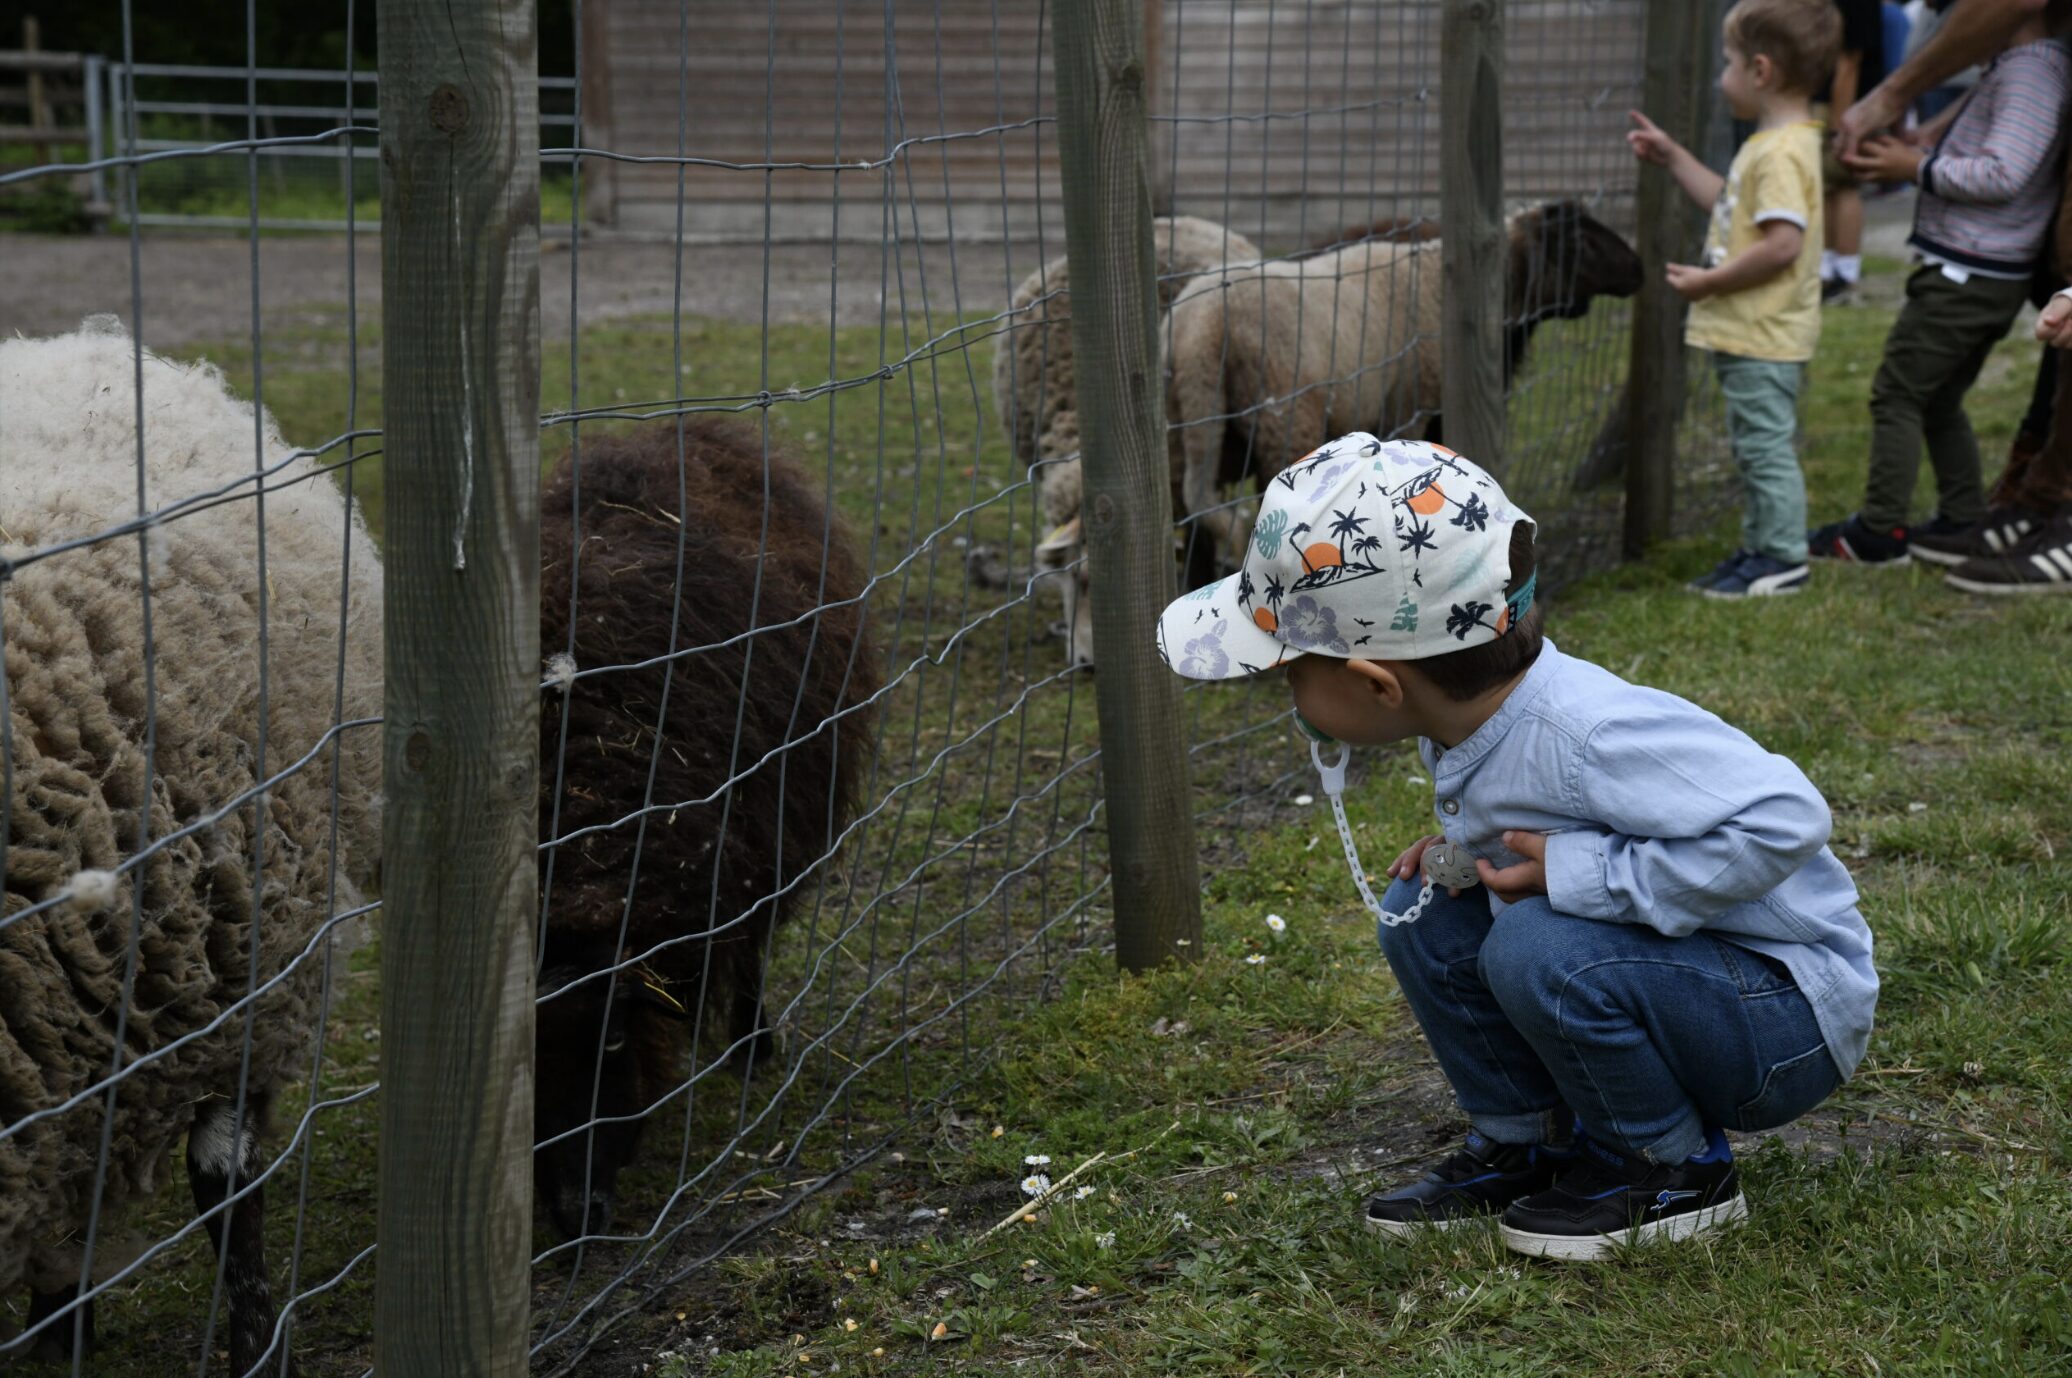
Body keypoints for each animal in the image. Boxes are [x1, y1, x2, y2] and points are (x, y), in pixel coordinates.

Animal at [1168, 198, 1632, 567]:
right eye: (1578, 243)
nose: (1639, 271)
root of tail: (1202, 325)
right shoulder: (1412, 407)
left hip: (1189, 430)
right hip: (1284, 420)